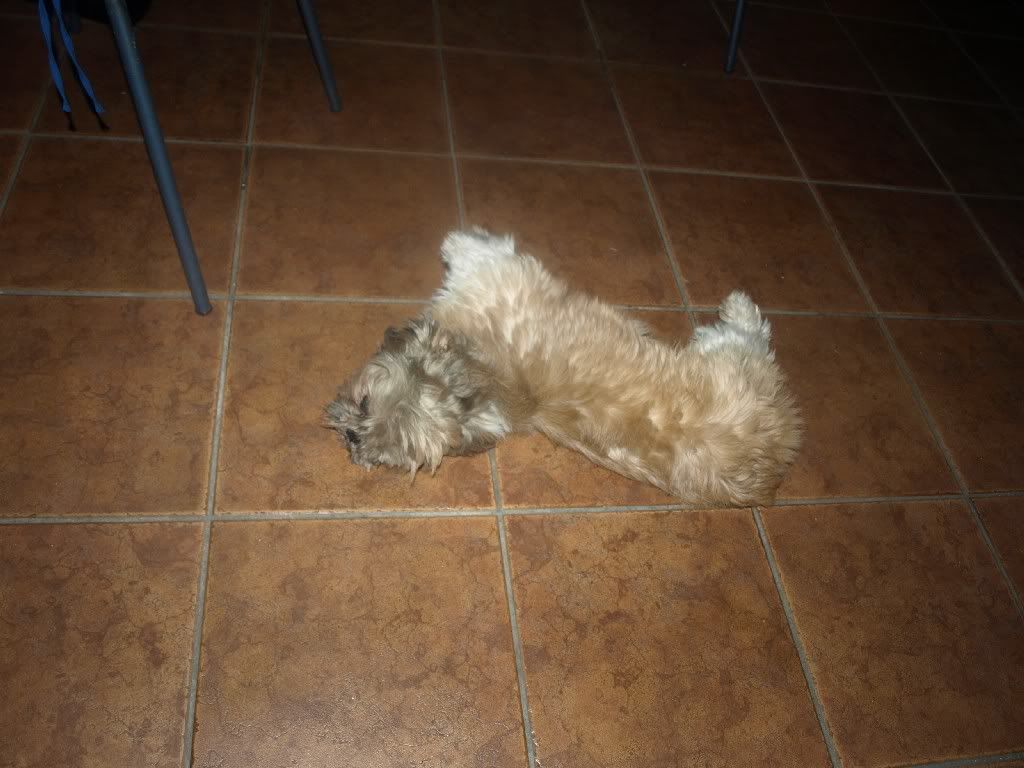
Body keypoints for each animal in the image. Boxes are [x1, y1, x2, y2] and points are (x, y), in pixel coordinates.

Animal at [326, 229, 802, 507]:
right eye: (384, 454)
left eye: (364, 402)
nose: (352, 441)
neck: (482, 376)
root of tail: (771, 469)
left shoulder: (493, 270)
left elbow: (469, 245)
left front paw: (455, 239)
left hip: (734, 356)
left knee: (752, 330)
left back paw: (737, 305)